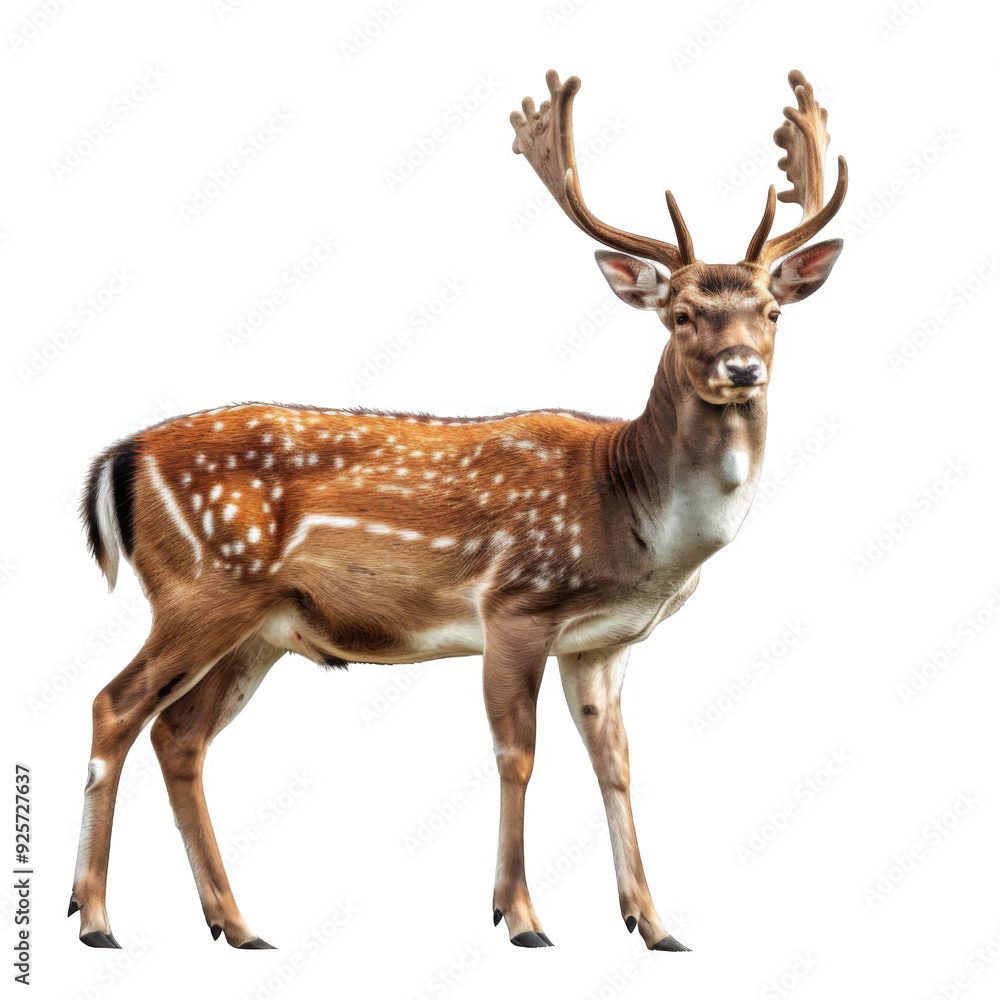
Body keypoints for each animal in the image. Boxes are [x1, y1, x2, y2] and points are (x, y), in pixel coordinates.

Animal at [69, 68, 847, 953]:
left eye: (773, 311)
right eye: (680, 314)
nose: (742, 367)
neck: (631, 519)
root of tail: (120, 456)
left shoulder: (605, 643)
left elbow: (614, 764)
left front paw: (654, 924)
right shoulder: (515, 602)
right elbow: (517, 754)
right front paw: (521, 918)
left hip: (257, 628)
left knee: (180, 734)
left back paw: (236, 924)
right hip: (201, 587)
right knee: (115, 706)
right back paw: (96, 918)